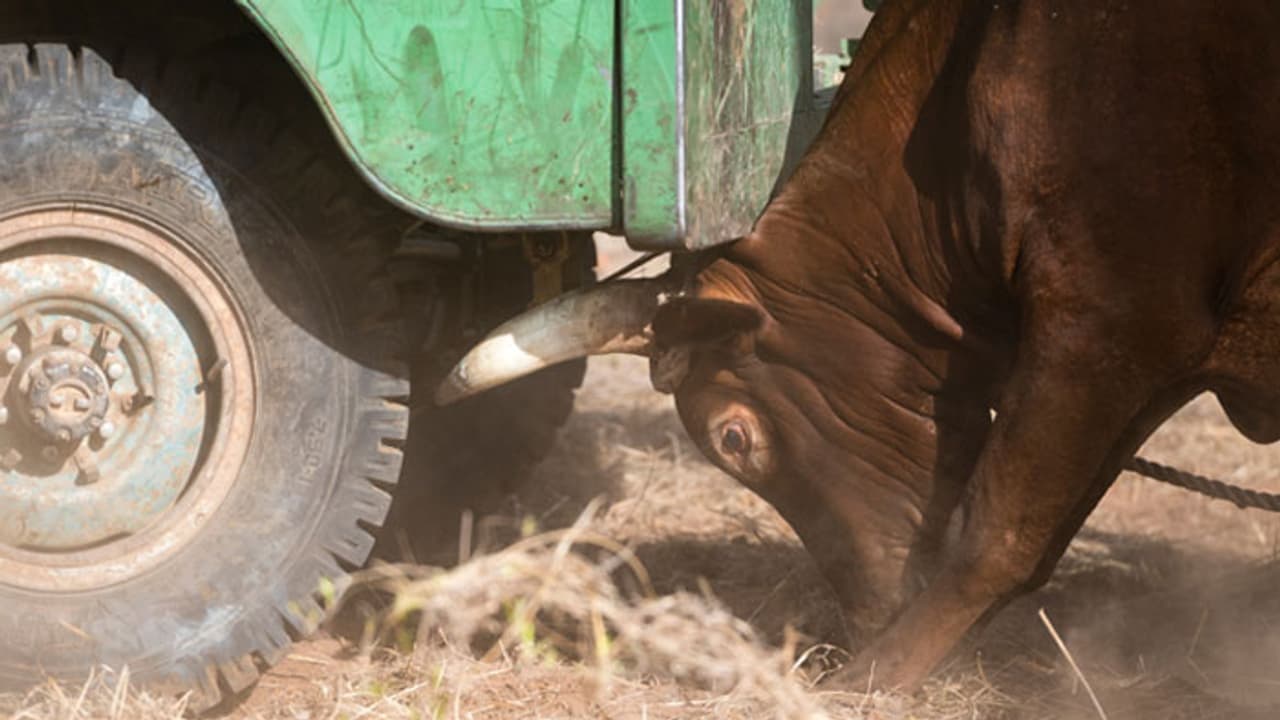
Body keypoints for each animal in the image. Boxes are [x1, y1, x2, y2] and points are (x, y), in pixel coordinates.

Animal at [437, 0, 1280, 690]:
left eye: (734, 438)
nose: (869, 614)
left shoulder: (1108, 321)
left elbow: (1000, 531)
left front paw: (871, 678)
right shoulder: (1144, 362)